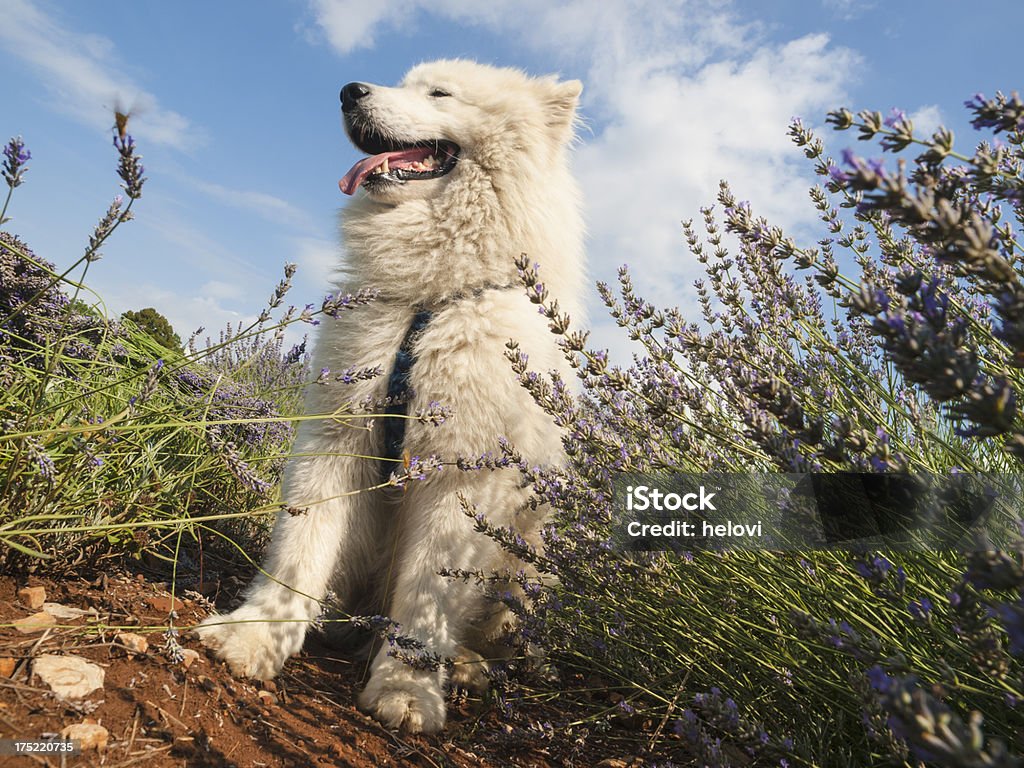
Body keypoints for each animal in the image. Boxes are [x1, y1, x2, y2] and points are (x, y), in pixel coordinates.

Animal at [197, 58, 585, 733]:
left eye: (440, 93)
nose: (348, 91)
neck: (432, 299)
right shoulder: (339, 435)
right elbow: (298, 550)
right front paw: (258, 634)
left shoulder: (459, 476)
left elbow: (428, 597)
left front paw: (408, 688)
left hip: (527, 566)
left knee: (491, 637)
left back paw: (467, 667)